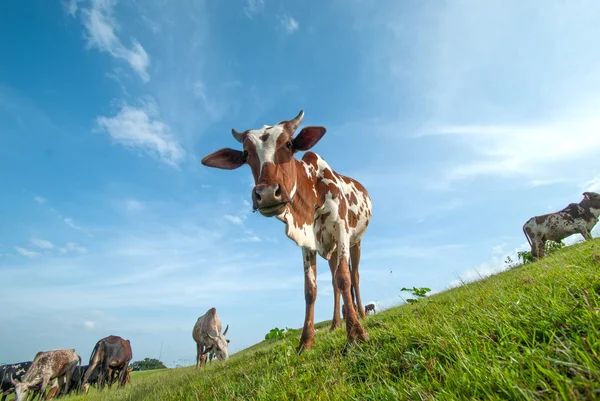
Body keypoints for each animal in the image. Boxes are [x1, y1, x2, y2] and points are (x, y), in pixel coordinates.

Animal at [200, 109, 370, 350]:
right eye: (245, 153)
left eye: (289, 144)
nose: (267, 193)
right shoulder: (308, 242)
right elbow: (311, 290)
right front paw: (305, 342)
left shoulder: (341, 230)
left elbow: (344, 278)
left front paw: (355, 334)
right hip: (332, 249)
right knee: (335, 282)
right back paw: (336, 324)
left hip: (356, 242)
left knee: (353, 276)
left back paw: (361, 315)